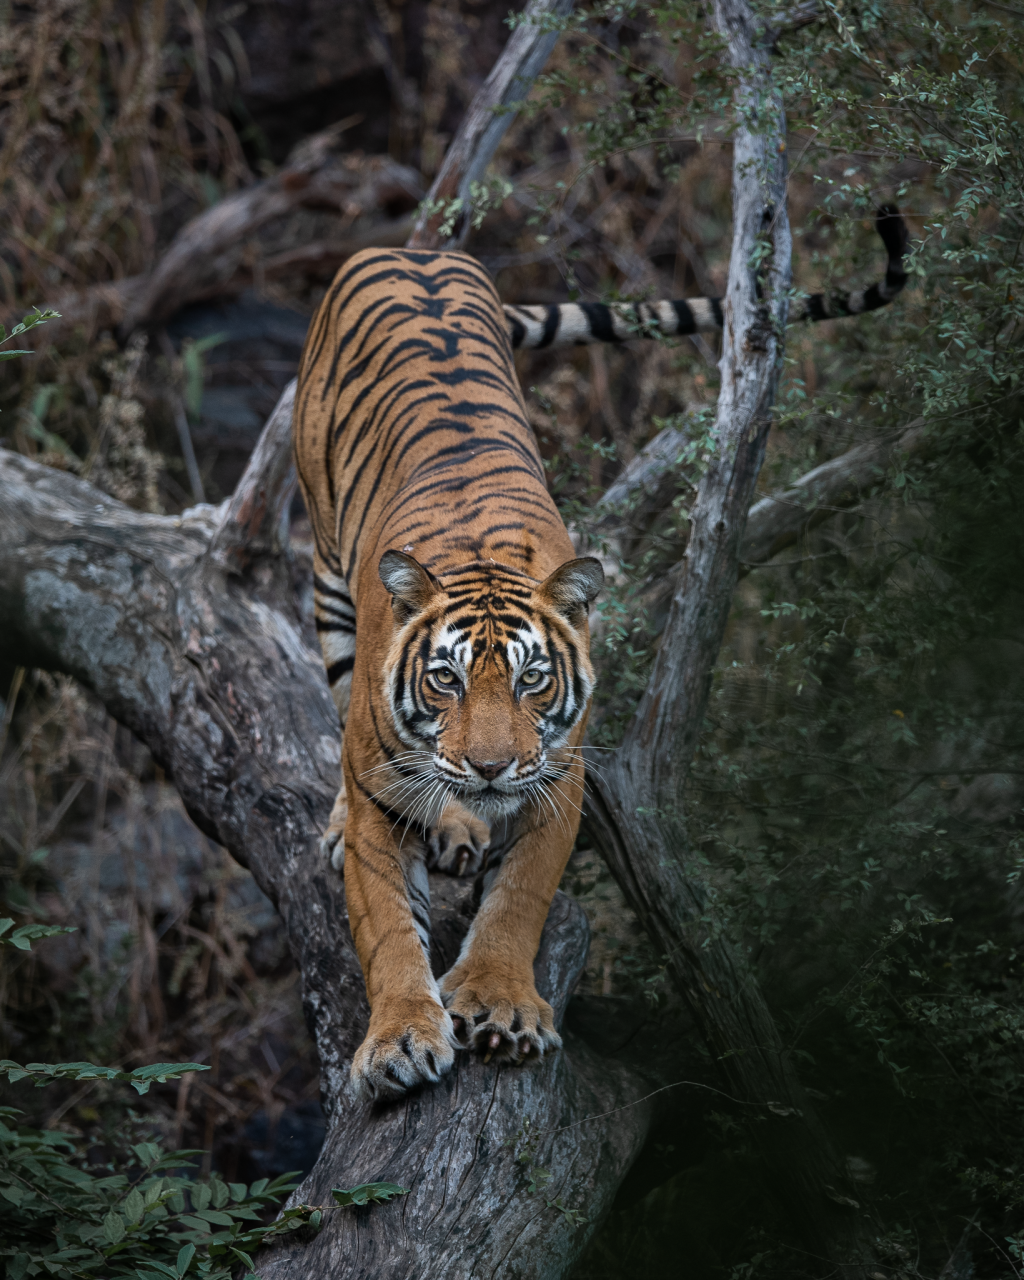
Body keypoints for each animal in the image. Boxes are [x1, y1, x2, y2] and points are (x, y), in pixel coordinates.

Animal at [291, 202, 906, 1100]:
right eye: (443, 681)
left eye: (532, 681)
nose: (489, 768)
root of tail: (411, 252)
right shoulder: (381, 790)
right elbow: (387, 932)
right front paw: (402, 1038)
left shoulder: (559, 778)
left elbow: (519, 900)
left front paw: (501, 1006)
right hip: (328, 576)